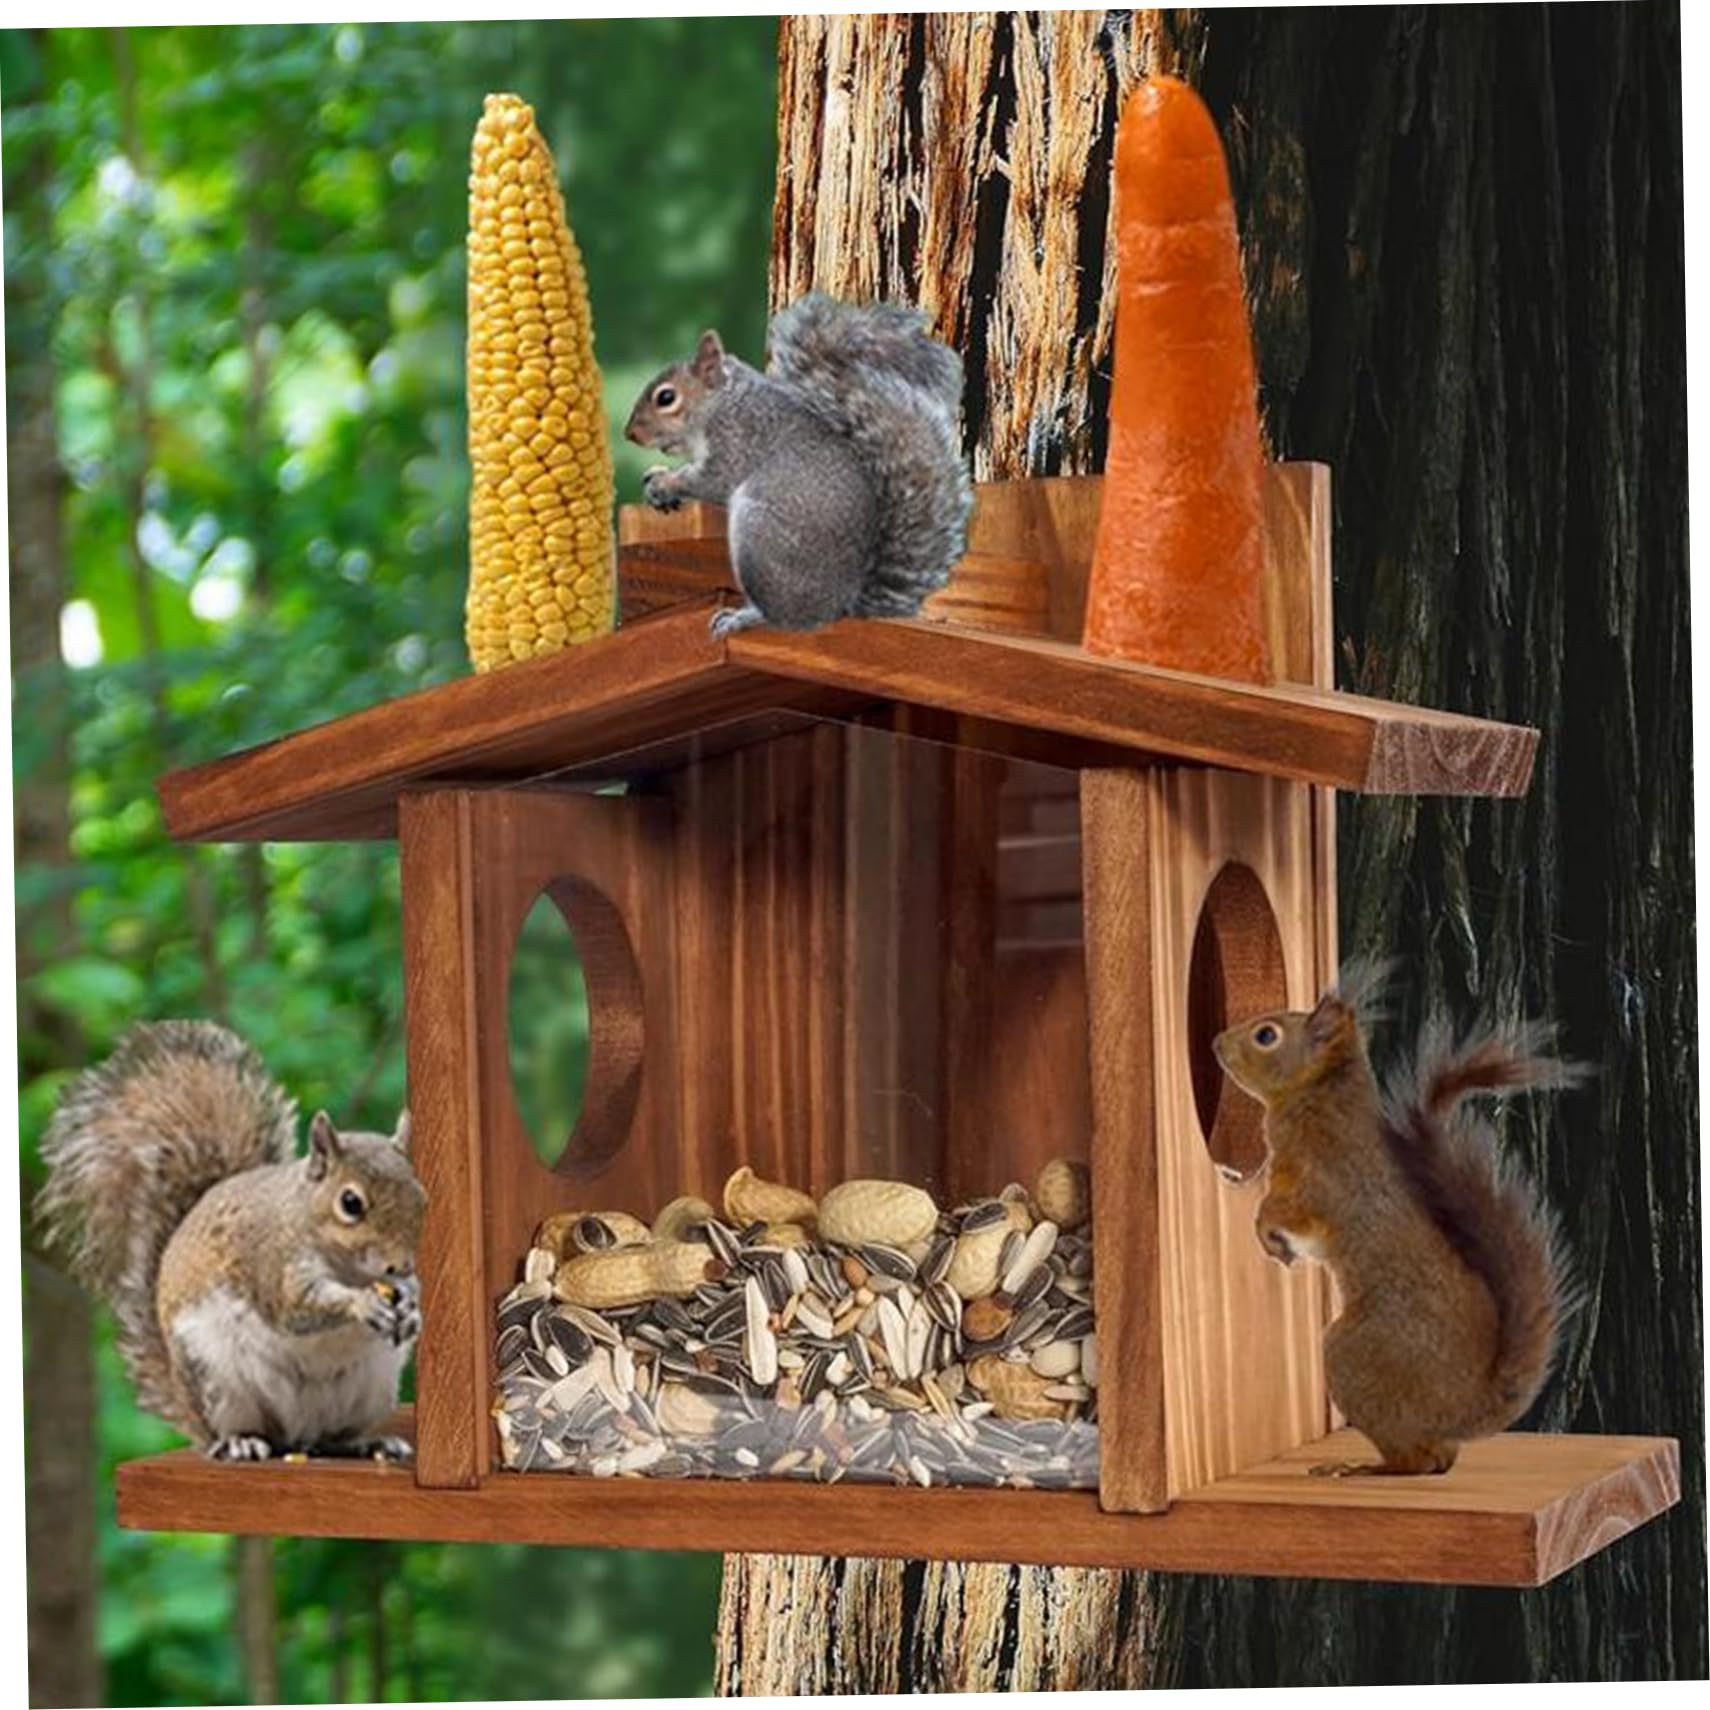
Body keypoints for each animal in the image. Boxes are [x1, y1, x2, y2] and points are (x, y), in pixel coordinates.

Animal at [37, 1020, 426, 1463]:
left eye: (422, 1196)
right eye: (350, 1203)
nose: (400, 1266)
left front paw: (413, 1310)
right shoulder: (272, 1263)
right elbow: (298, 1306)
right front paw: (362, 1304)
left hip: (369, 1388)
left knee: (329, 1438)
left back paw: (368, 1443)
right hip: (216, 1381)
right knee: (241, 1431)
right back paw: (242, 1441)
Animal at [623, 292, 974, 639]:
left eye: (666, 398)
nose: (630, 434)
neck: (722, 402)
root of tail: (840, 604)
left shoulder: (738, 439)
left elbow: (714, 480)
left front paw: (666, 483)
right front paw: (656, 476)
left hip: (759, 533)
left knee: (785, 618)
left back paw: (744, 617)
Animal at [1214, 986, 1579, 1476]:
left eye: (1266, 1035)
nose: (1216, 1042)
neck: (1319, 1096)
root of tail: (1466, 1408)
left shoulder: (1319, 1181)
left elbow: (1285, 1211)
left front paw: (1265, 1231)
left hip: (1355, 1359)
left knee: (1415, 1461)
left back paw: (1365, 1469)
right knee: (1439, 1459)